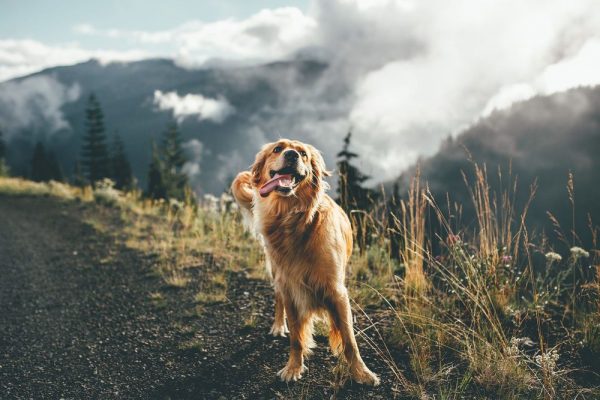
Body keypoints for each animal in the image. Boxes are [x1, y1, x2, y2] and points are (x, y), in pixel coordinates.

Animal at [231, 138, 380, 384]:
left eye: (303, 154)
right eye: (277, 149)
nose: (292, 155)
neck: (295, 221)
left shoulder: (336, 290)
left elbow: (349, 340)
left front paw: (362, 373)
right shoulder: (291, 288)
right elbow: (296, 338)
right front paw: (293, 367)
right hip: (277, 274)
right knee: (278, 300)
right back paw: (278, 325)